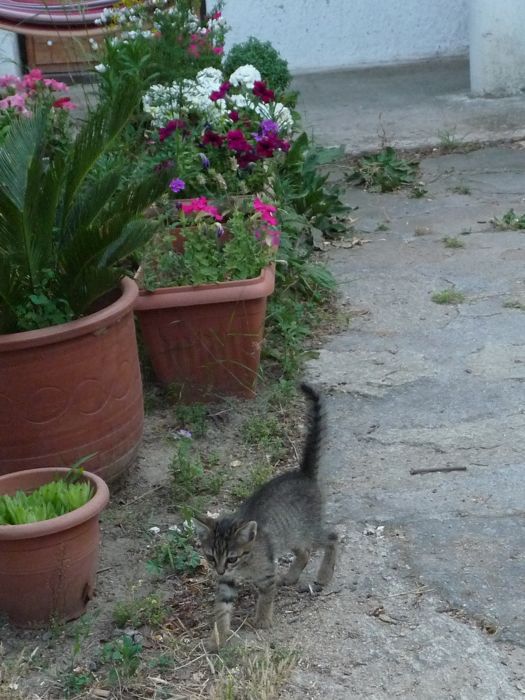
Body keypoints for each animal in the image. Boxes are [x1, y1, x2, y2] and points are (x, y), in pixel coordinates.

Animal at [194, 382, 337, 651]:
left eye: (231, 558)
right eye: (210, 557)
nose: (219, 570)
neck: (244, 565)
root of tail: (303, 473)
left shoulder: (266, 571)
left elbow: (266, 596)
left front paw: (262, 619)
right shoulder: (227, 584)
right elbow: (221, 609)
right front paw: (218, 637)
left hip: (308, 530)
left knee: (333, 537)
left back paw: (324, 574)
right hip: (292, 534)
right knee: (305, 551)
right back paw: (291, 577)